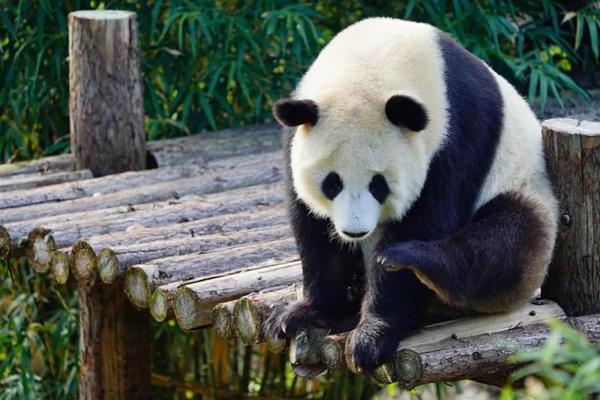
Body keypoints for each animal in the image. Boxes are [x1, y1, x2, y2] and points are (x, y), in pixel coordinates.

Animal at [266, 18, 556, 376]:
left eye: (378, 184)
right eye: (332, 183)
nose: (354, 231)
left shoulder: (459, 134)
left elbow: (429, 217)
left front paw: (371, 337)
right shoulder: (296, 135)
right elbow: (314, 230)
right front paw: (305, 313)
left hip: (526, 191)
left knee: (504, 245)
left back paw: (416, 259)